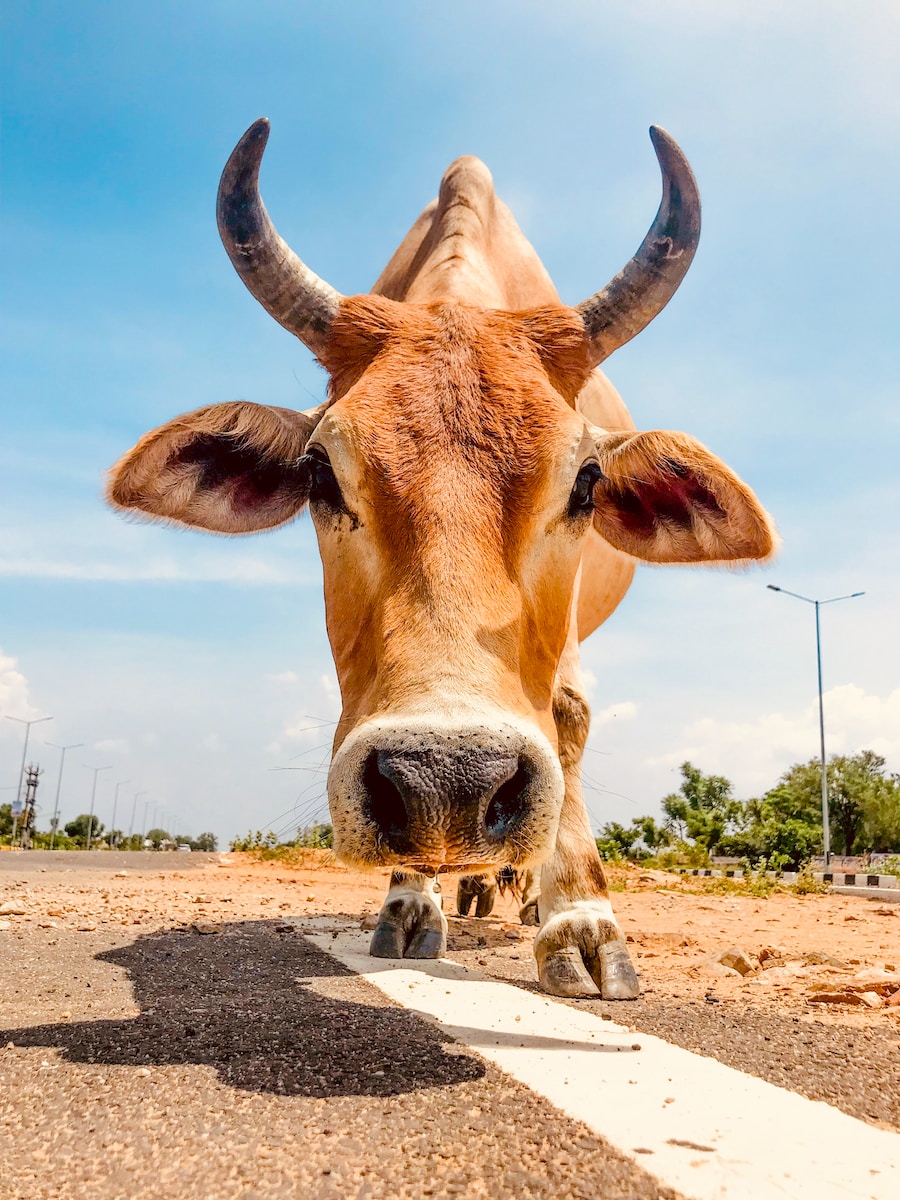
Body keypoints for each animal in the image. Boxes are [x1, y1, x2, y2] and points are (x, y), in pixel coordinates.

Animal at [108, 120, 774, 1000]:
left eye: (586, 481)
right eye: (320, 472)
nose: (449, 780)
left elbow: (566, 719)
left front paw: (580, 921)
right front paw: (410, 900)